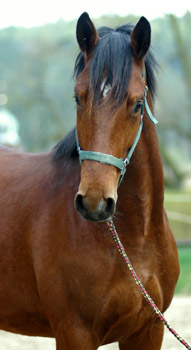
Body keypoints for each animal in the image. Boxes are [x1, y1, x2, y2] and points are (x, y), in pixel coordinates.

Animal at [0, 12, 179, 348]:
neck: (136, 242)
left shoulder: (148, 330)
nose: (95, 202)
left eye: (137, 104)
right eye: (77, 98)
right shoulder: (75, 332)